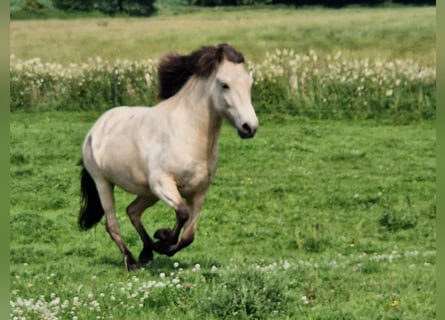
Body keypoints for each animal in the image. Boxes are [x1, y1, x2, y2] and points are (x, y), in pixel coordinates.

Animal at [78, 43, 258, 272]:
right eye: (224, 85)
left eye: (249, 84)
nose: (249, 127)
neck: (188, 132)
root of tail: (96, 128)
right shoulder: (163, 184)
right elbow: (182, 213)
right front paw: (162, 239)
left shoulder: (199, 192)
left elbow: (189, 234)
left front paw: (162, 243)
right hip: (104, 183)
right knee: (112, 224)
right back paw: (132, 261)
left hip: (147, 192)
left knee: (132, 211)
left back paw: (146, 252)